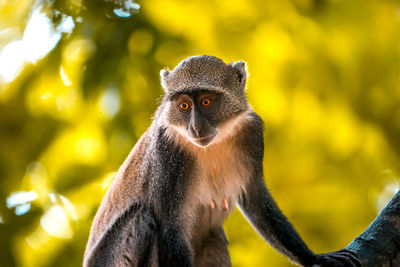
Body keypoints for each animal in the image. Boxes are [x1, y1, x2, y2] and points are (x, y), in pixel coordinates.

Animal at [83, 55, 360, 266]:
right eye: (184, 106)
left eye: (206, 101)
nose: (195, 128)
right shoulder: (167, 152)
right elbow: (171, 228)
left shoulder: (252, 132)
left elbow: (256, 198)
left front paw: (313, 257)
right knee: (142, 216)